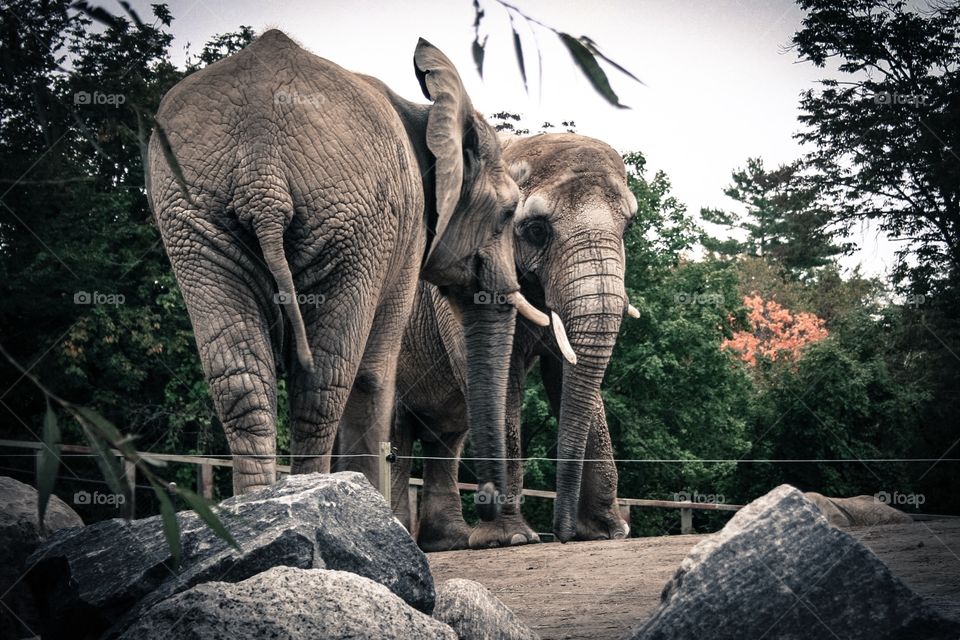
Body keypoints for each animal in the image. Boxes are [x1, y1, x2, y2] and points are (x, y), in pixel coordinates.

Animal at [147, 30, 548, 508]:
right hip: (353, 221)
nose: (487, 502)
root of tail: (262, 172)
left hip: (195, 220)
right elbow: (374, 373)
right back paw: (308, 494)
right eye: (507, 214)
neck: (429, 114)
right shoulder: (406, 235)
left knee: (240, 377)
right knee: (327, 379)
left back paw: (259, 501)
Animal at [391, 133, 639, 548]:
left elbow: (565, 372)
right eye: (536, 230)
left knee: (446, 439)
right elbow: (499, 376)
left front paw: (608, 534)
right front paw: (513, 539)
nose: (563, 535)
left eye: (628, 228)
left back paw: (450, 541)